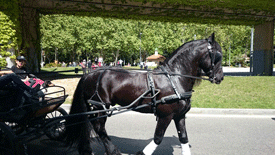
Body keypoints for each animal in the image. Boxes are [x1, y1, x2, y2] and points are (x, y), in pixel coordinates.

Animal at [66, 33, 224, 154]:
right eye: (218, 56)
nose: (220, 77)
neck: (174, 78)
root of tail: (89, 74)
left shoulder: (179, 115)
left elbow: (183, 138)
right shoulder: (166, 115)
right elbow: (158, 138)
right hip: (100, 106)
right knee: (98, 127)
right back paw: (112, 150)